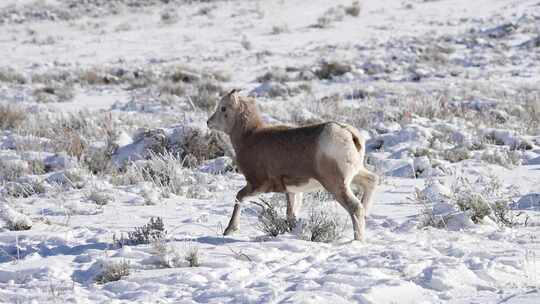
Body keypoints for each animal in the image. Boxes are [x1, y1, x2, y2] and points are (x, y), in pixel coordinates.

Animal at [205, 89, 378, 241]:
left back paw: (357, 240)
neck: (249, 136)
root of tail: (348, 133)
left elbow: (239, 197)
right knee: (371, 181)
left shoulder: (258, 184)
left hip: (336, 184)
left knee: (355, 207)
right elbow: (291, 215)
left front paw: (229, 230)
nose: (208, 122)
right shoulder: (292, 192)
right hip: (354, 175)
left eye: (223, 108)